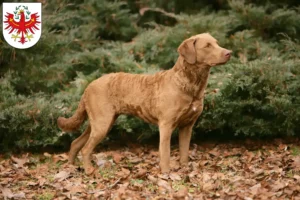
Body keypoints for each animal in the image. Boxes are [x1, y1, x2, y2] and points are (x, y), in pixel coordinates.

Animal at [58, 32, 232, 173]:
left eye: (217, 43)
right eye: (207, 46)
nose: (229, 52)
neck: (188, 84)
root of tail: (88, 86)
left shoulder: (187, 126)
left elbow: (184, 152)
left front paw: (184, 170)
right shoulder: (166, 125)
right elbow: (165, 153)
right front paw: (166, 173)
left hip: (99, 122)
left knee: (76, 143)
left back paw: (71, 167)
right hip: (102, 123)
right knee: (85, 148)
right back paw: (88, 170)